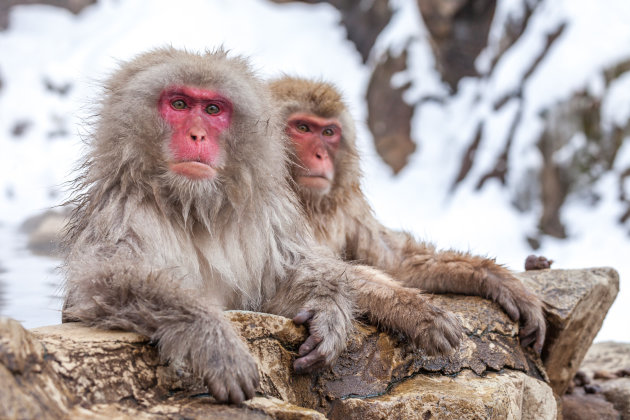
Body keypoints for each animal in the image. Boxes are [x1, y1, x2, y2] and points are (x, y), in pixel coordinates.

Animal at [270, 76, 548, 354]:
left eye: (328, 132)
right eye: (303, 128)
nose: (320, 155)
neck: (308, 202)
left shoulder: (349, 208)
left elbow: (396, 261)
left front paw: (499, 280)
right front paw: (417, 314)